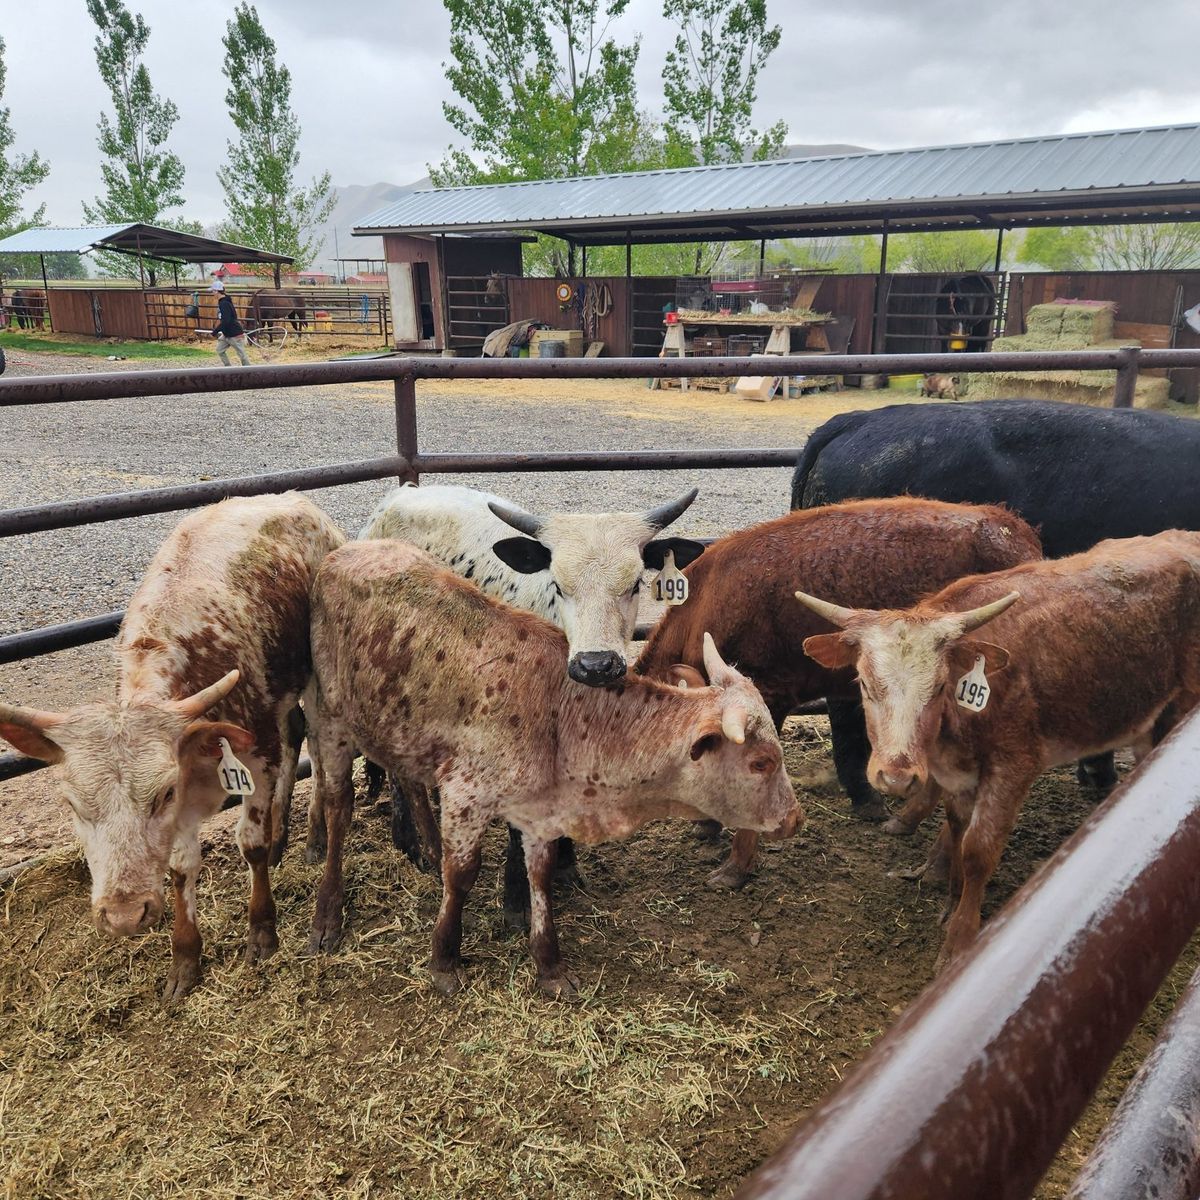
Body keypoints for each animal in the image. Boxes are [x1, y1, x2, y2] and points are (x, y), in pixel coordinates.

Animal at [0, 494, 345, 1001]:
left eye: (161, 793)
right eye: (73, 806)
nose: (124, 915)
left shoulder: (255, 756)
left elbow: (252, 844)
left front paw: (262, 930)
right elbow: (182, 868)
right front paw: (185, 958)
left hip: (316, 684)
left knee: (315, 750)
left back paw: (314, 834)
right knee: (295, 731)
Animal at [306, 540, 801, 997]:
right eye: (761, 761)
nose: (795, 819)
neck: (559, 710)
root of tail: (345, 552)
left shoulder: (540, 811)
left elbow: (540, 876)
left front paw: (549, 966)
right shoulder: (466, 793)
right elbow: (462, 874)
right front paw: (444, 958)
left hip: (397, 726)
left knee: (404, 779)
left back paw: (424, 850)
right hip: (329, 720)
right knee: (338, 807)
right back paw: (328, 913)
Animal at [355, 482, 706, 921]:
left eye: (635, 585)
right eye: (558, 586)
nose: (595, 665)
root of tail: (401, 494)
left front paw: (566, 864)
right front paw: (517, 900)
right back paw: (408, 840)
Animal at [795, 529, 1200, 970]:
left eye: (939, 687)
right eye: (865, 685)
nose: (897, 777)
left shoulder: (1013, 767)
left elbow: (978, 850)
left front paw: (959, 938)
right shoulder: (955, 774)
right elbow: (958, 829)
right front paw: (951, 897)